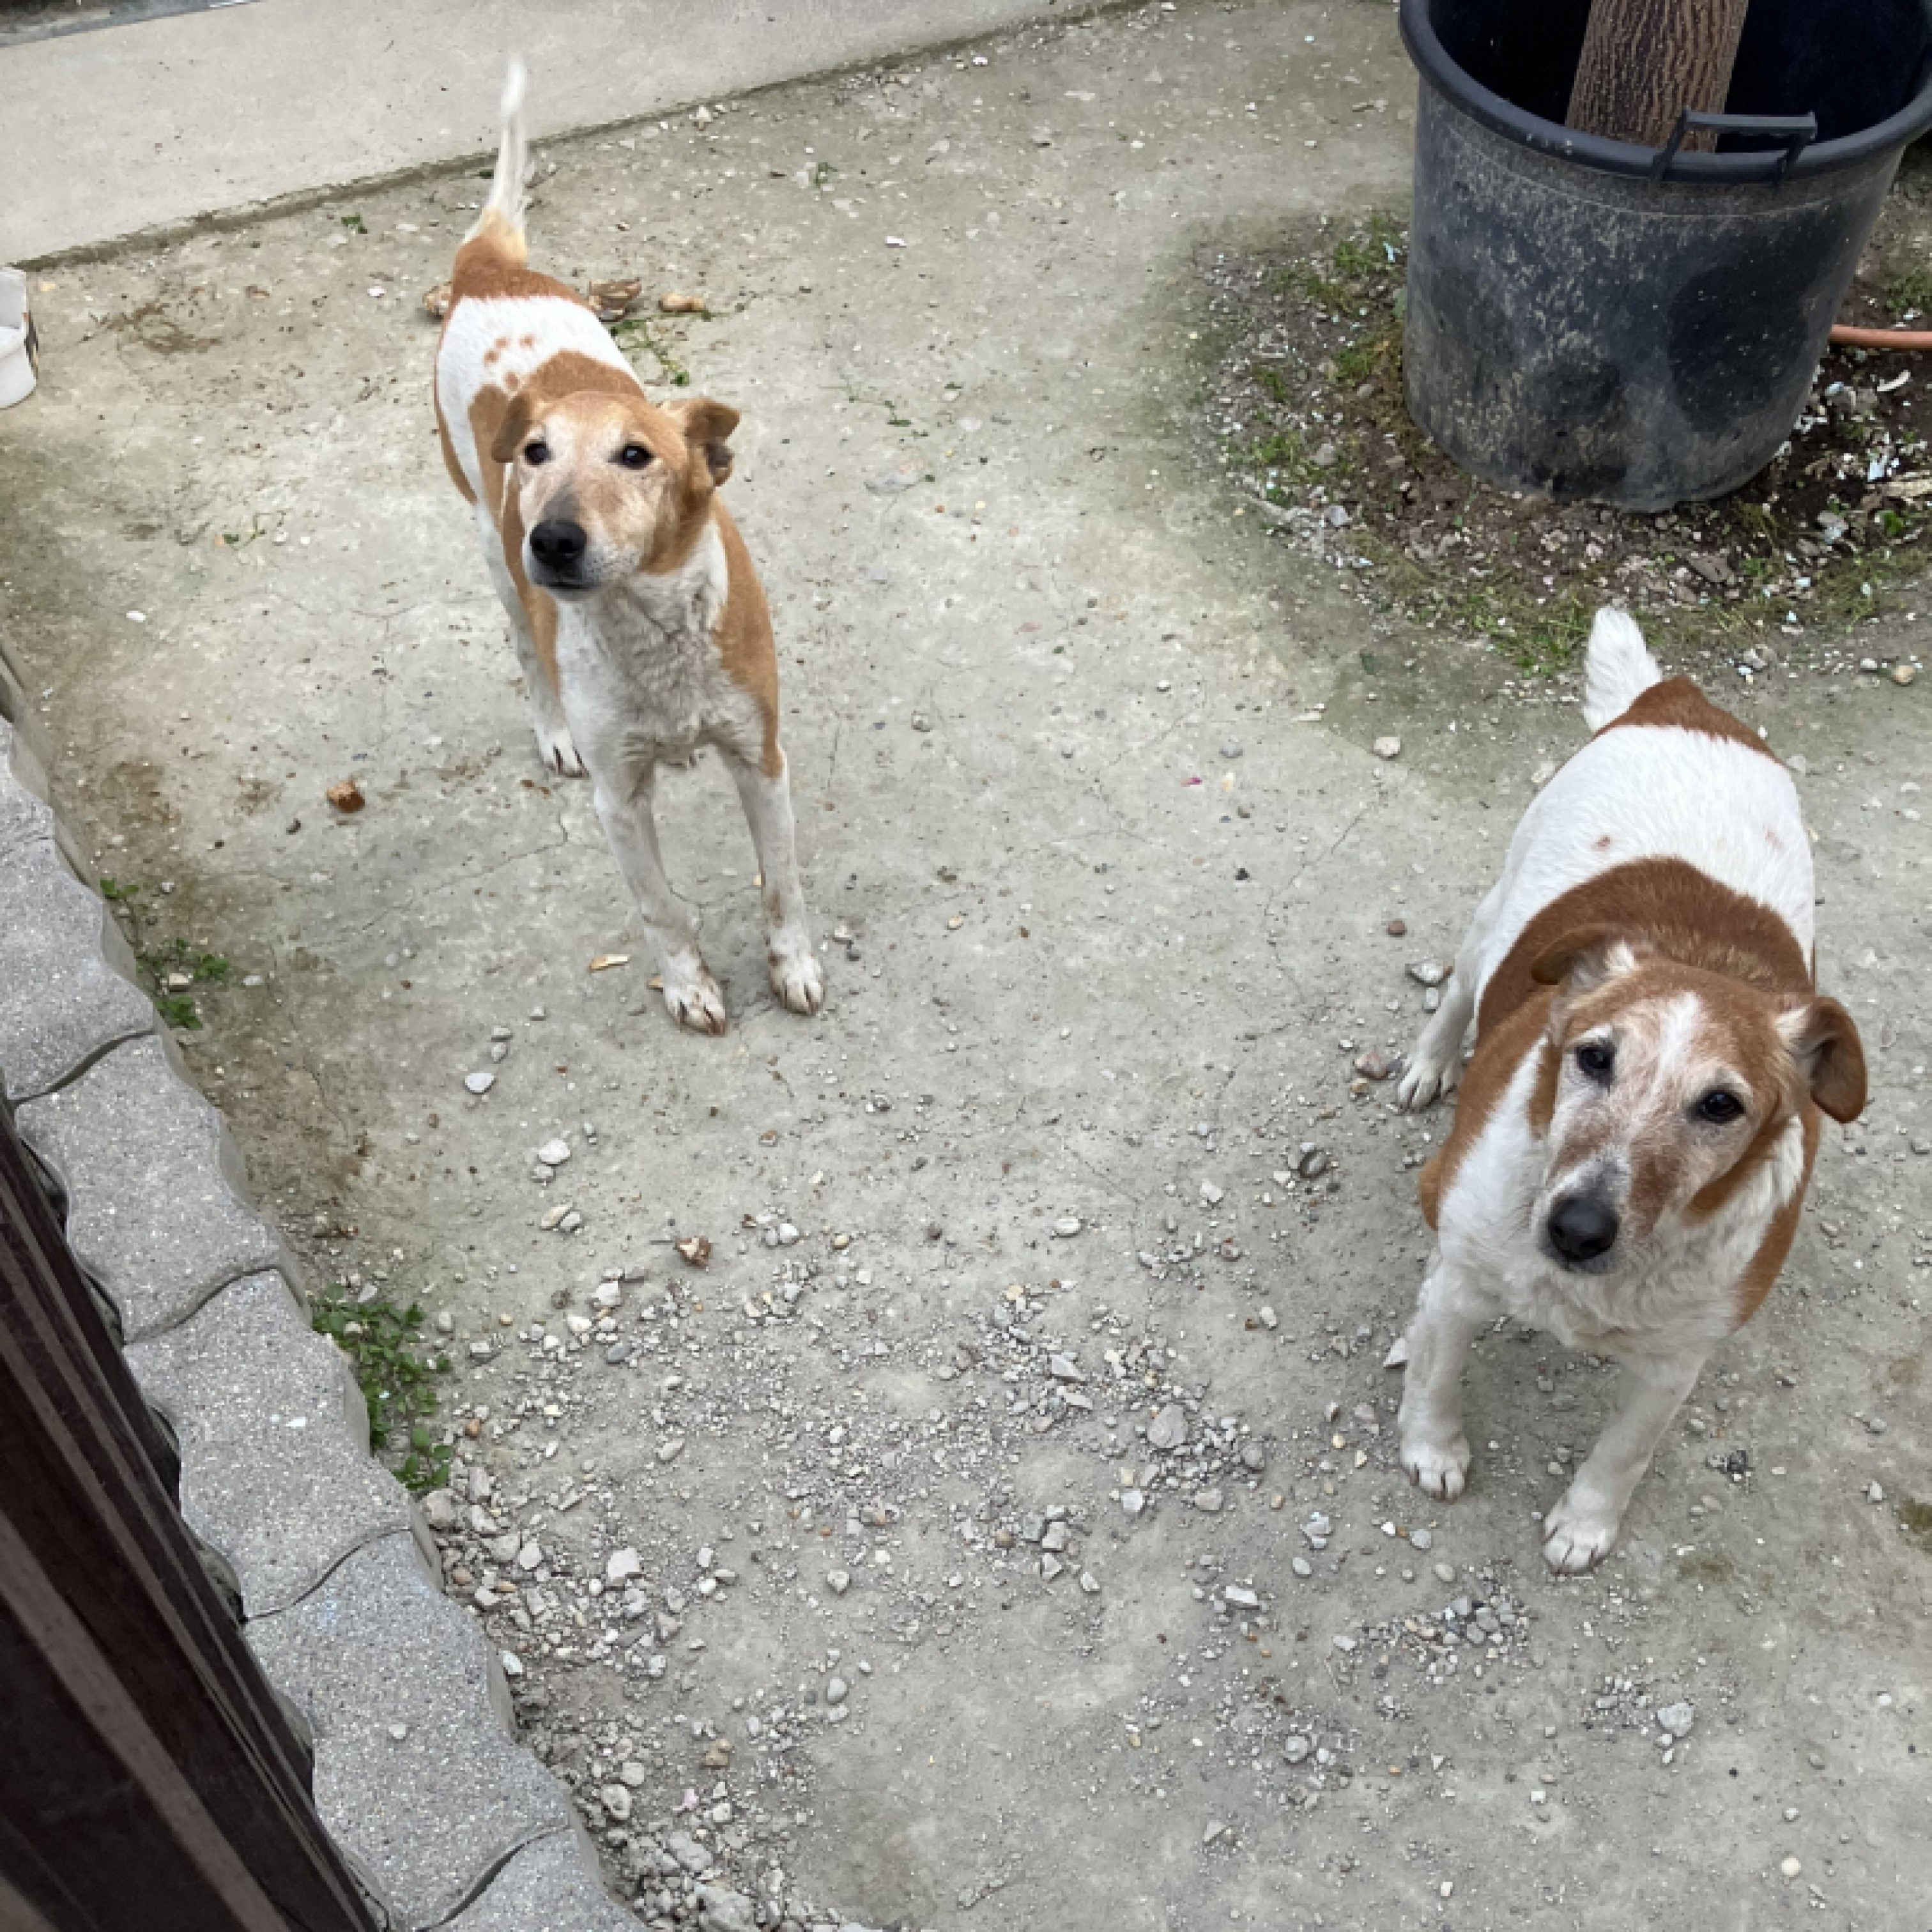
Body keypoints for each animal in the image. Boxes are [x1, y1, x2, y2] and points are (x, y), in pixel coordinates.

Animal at [433, 64, 822, 1033]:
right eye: (536, 455)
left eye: (637, 456)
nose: (553, 540)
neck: (651, 627)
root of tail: (490, 268)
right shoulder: (621, 797)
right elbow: (659, 907)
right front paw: (689, 985)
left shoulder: (762, 758)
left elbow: (782, 884)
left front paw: (794, 965)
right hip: (492, 558)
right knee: (526, 654)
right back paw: (551, 731)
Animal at [1392, 609, 1865, 1572]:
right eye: (1593, 1058)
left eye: (1721, 1106)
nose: (1576, 1231)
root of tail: (1679, 700)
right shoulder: (1458, 1284)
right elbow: (1437, 1371)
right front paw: (1433, 1448)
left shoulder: (1673, 1365)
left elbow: (1624, 1451)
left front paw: (1586, 1522)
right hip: (1496, 911)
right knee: (1459, 987)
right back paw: (1431, 1061)